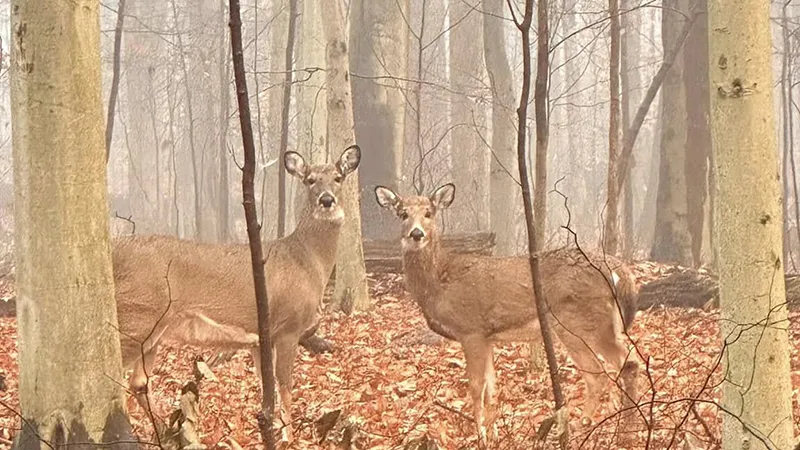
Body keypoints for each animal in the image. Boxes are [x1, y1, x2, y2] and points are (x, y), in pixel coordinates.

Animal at [111, 146, 360, 444]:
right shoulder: (288, 327)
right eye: (310, 180)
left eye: (338, 177)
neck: (307, 260)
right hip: (137, 315)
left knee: (138, 382)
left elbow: (267, 388)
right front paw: (288, 438)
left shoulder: (260, 339)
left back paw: (169, 434)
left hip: (152, 332)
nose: (327, 200)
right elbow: (285, 386)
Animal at [376, 184, 644, 442]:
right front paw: (494, 434)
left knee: (609, 369)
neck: (439, 282)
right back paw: (614, 427)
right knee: (616, 367)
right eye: (403, 214)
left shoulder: (471, 329)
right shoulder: (488, 337)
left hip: (581, 322)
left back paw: (600, 426)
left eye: (429, 213)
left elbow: (476, 387)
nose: (416, 233)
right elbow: (491, 388)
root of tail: (620, 271)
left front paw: (480, 437)